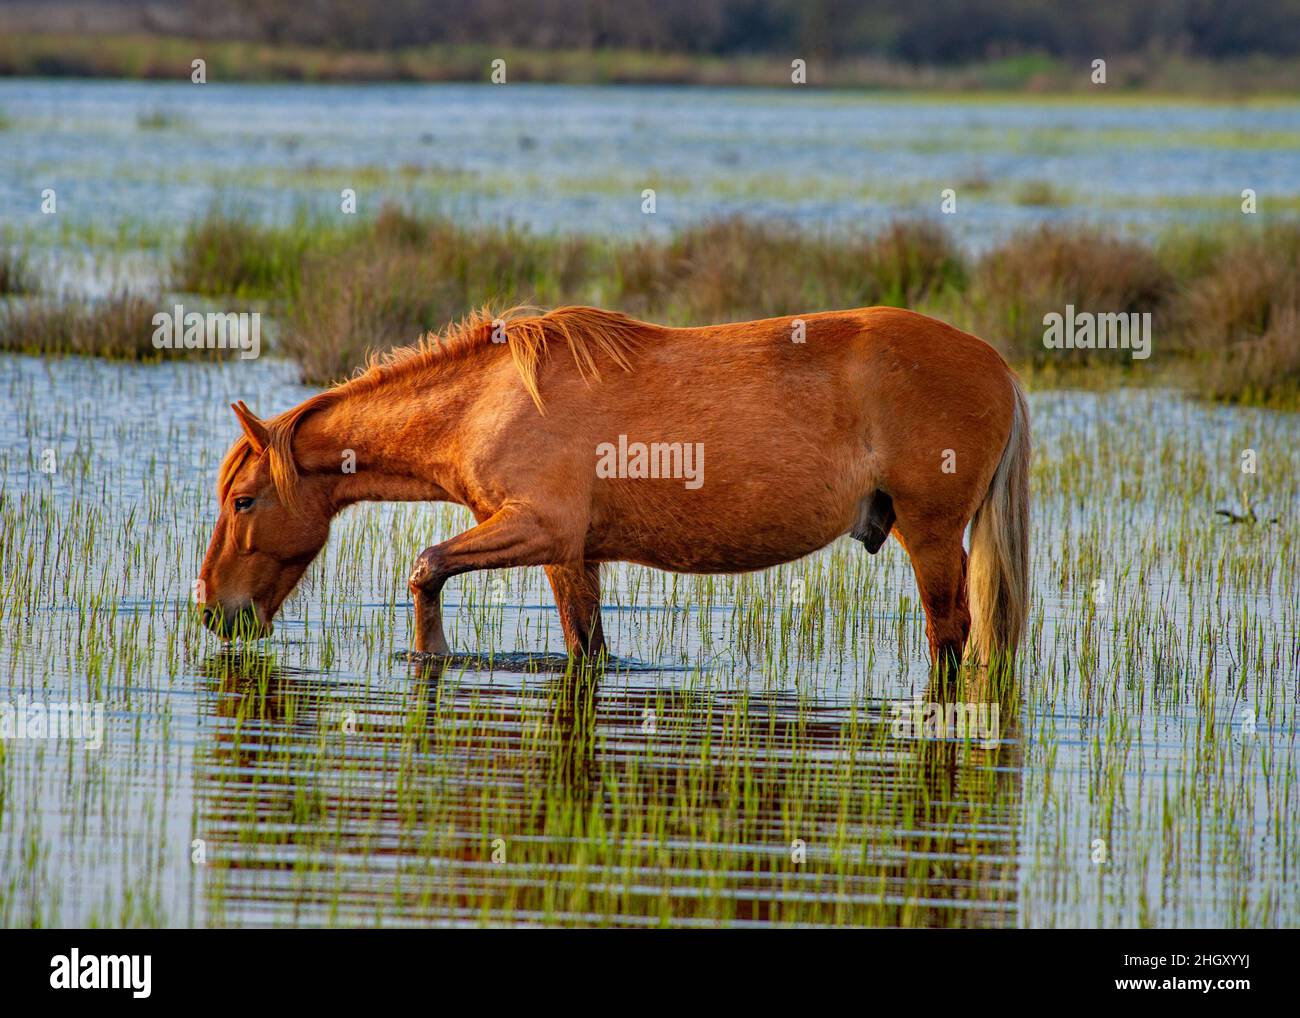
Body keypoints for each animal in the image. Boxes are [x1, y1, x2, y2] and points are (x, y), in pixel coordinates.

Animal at [197, 306, 1029, 681]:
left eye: (243, 502)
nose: (213, 610)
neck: (486, 399)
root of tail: (998, 365)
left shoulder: (541, 531)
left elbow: (427, 565)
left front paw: (430, 653)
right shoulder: (575, 557)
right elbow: (587, 647)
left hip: (931, 538)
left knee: (951, 639)